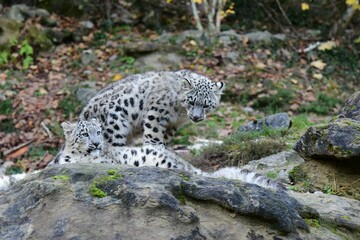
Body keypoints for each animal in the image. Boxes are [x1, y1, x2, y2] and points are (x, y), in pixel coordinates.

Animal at [80, 70, 224, 152]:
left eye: (206, 105)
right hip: (115, 126)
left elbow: (165, 137)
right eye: (191, 101)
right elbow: (154, 133)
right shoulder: (157, 113)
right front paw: (155, 147)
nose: (196, 117)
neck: (180, 113)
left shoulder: (172, 124)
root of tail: (84, 114)